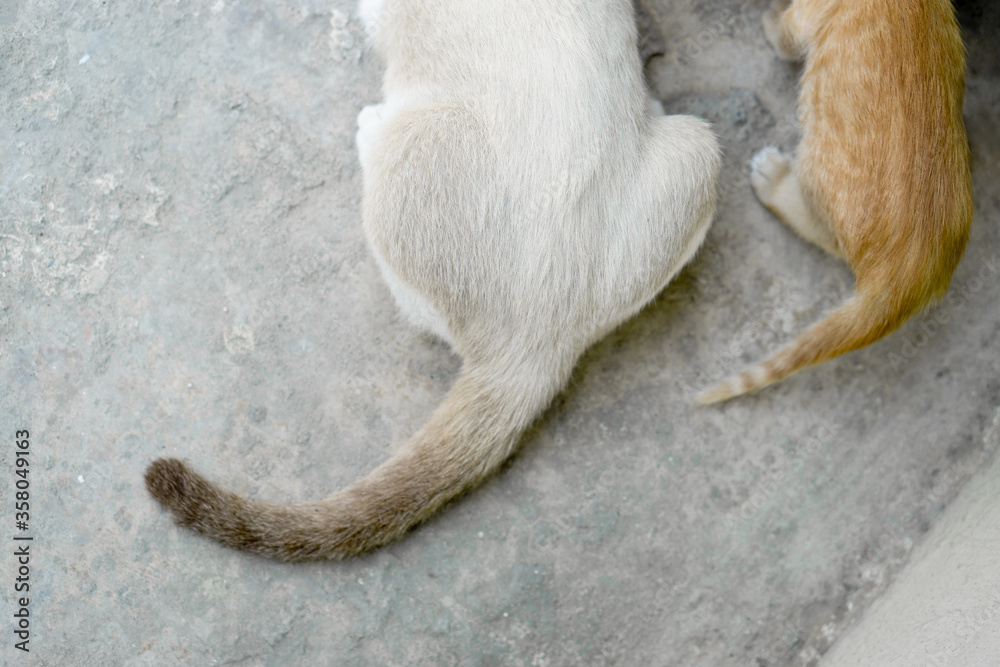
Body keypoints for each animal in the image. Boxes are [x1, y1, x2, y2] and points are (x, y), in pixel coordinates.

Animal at [145, 0, 720, 560]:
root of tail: (536, 345)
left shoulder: (378, 12)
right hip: (698, 150)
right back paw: (654, 103)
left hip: (412, 148)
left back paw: (370, 127)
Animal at [700, 0, 972, 404]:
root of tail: (913, 268)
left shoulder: (805, 16)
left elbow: (785, 36)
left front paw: (769, 20)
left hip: (817, 155)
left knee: (822, 231)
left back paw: (773, 180)